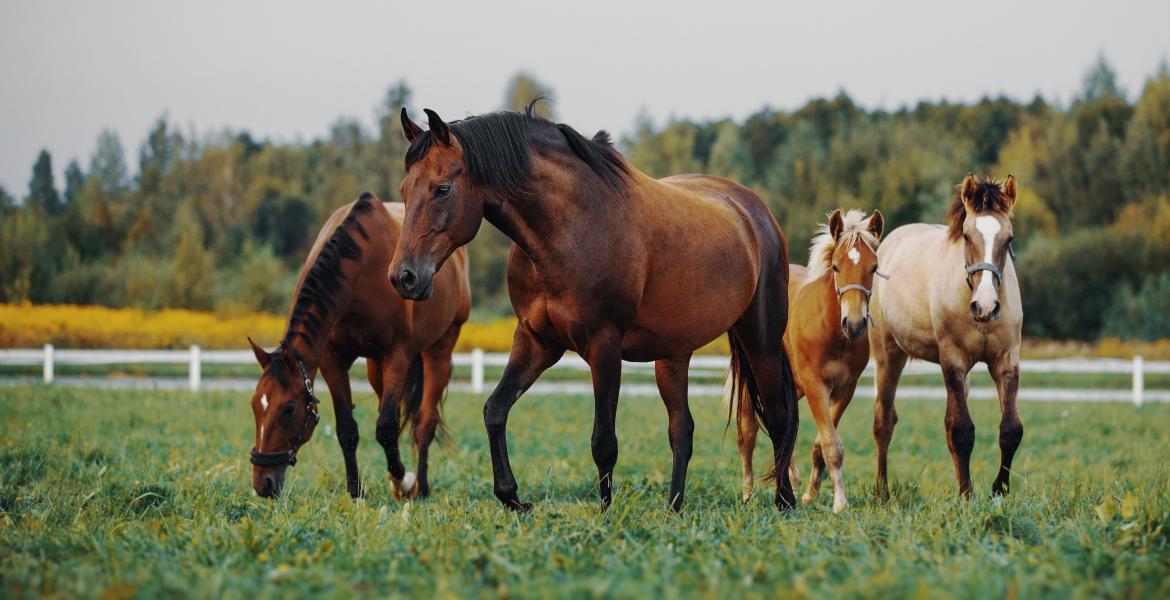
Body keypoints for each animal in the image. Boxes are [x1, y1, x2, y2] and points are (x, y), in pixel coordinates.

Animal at [246, 193, 471, 500]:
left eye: (289, 408)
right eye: (255, 404)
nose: (263, 484)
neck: (363, 268)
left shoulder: (397, 357)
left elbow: (386, 427)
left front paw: (404, 481)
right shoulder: (332, 361)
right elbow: (347, 429)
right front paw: (355, 491)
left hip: (440, 348)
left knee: (424, 422)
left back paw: (420, 487)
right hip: (375, 366)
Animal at [388, 104, 800, 513]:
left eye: (442, 189)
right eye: (404, 190)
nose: (403, 276)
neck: (571, 227)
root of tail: (753, 211)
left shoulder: (604, 346)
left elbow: (603, 440)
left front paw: (605, 513)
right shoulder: (536, 341)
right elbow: (495, 409)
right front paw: (513, 497)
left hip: (759, 339)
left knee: (778, 418)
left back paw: (785, 501)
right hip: (673, 354)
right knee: (682, 430)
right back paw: (674, 508)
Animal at [735, 209, 883, 513]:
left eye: (873, 268)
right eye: (836, 267)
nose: (854, 324)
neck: (832, 333)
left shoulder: (845, 390)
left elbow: (819, 446)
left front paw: (811, 495)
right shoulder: (817, 387)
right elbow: (832, 445)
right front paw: (840, 503)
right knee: (748, 433)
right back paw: (748, 495)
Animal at [869, 174, 1023, 499]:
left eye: (1009, 239)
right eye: (966, 236)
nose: (985, 306)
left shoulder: (1007, 360)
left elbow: (1011, 429)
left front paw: (998, 490)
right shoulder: (953, 360)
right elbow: (960, 430)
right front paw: (966, 495)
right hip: (888, 355)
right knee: (883, 422)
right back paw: (883, 491)